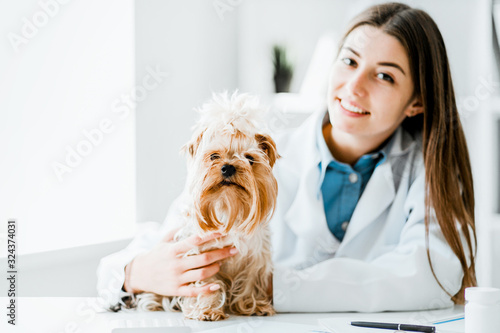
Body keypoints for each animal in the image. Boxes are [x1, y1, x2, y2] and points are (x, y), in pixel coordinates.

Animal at [135, 91, 280, 320]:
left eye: (249, 159)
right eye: (213, 156)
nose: (228, 167)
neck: (229, 207)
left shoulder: (256, 256)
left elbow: (250, 281)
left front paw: (253, 305)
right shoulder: (200, 256)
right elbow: (209, 283)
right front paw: (208, 309)